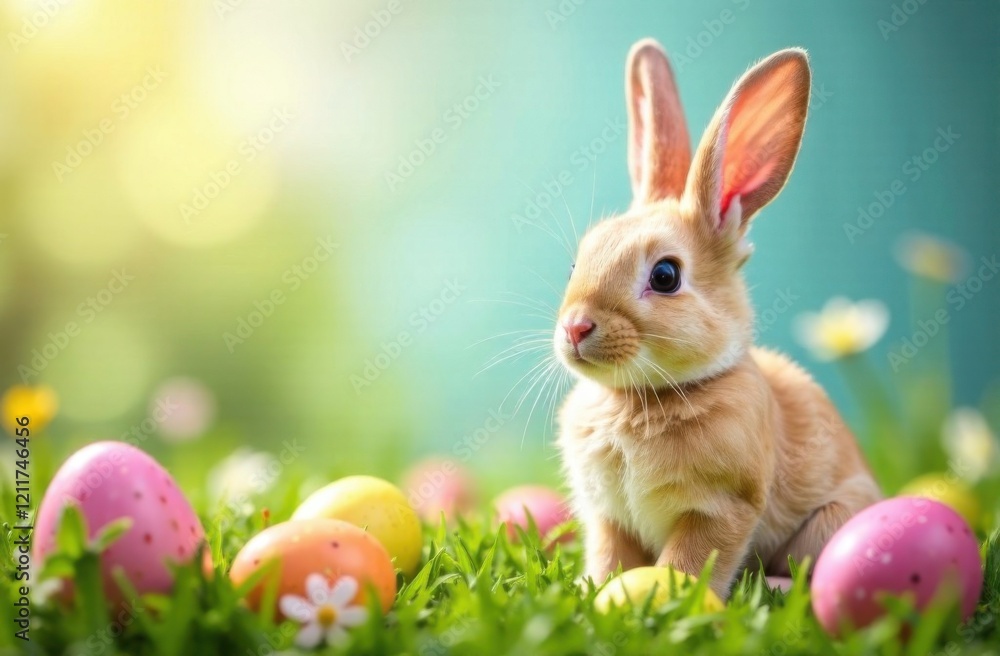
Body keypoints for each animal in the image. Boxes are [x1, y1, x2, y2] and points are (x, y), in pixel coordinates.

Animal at [553, 39, 882, 600]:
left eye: (665, 275)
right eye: (578, 262)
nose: (576, 328)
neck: (646, 397)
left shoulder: (721, 509)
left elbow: (688, 559)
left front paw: (671, 592)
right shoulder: (608, 518)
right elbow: (610, 555)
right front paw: (594, 588)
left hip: (830, 522)